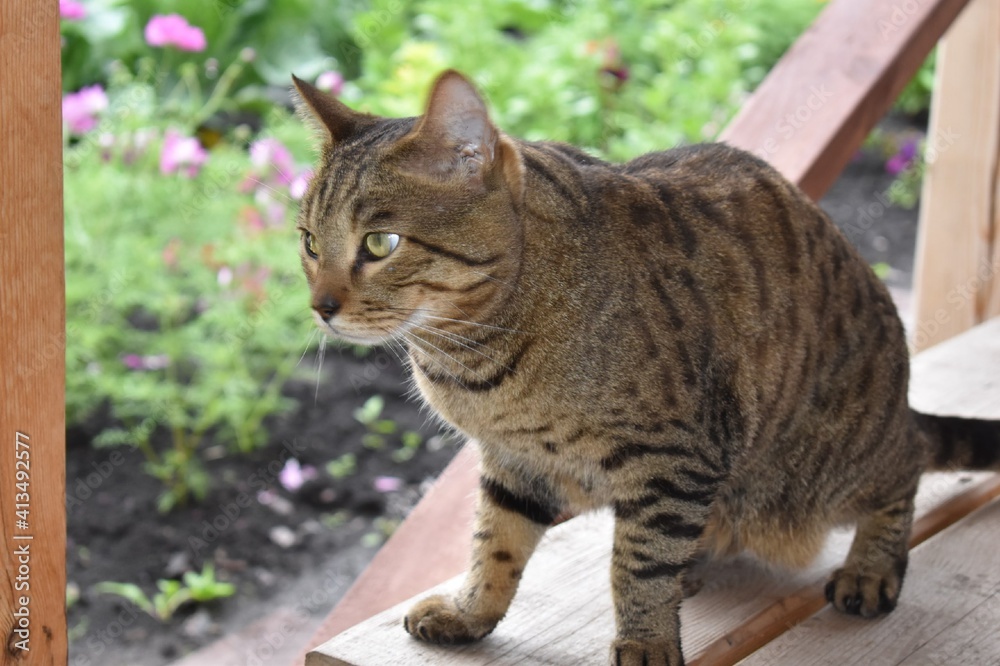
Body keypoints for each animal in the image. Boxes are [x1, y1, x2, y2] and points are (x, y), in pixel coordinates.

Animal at [292, 68, 1000, 664]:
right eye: (309, 243)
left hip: (830, 459)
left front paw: (646, 641)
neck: (475, 361)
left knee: (904, 470)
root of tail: (899, 399)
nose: (319, 307)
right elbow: (494, 543)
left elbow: (638, 565)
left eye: (380, 243)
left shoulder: (672, 460)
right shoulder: (513, 461)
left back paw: (871, 566)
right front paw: (472, 613)